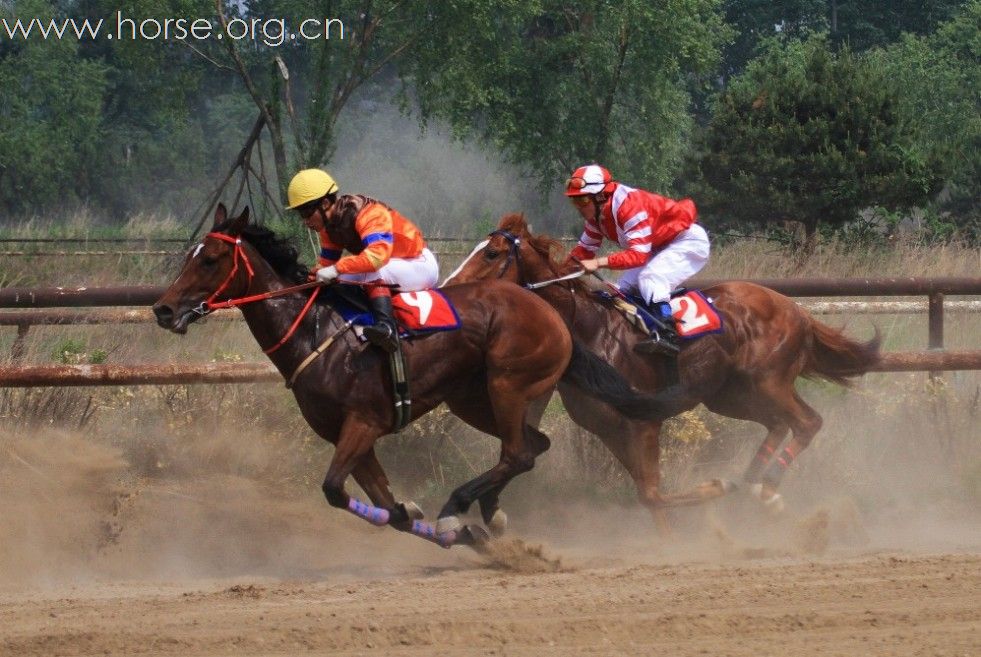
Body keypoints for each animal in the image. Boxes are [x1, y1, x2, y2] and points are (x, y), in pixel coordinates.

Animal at [153, 206, 680, 548]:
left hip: (507, 384)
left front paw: (449, 525)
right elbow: (387, 510)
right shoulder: (349, 436)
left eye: (210, 259)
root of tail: (551, 310)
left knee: (516, 452)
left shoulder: (362, 423)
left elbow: (335, 490)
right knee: (532, 447)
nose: (163, 310)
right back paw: (487, 514)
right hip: (472, 399)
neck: (314, 332)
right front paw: (448, 528)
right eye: (191, 254)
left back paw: (456, 507)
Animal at [444, 213, 880, 520]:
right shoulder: (607, 429)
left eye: (491, 253)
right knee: (776, 423)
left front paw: (713, 490)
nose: (448, 288)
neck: (590, 328)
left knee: (806, 422)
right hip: (728, 395)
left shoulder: (643, 423)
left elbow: (652, 493)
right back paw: (751, 482)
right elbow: (649, 497)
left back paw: (767, 489)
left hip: (768, 381)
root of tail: (796, 310)